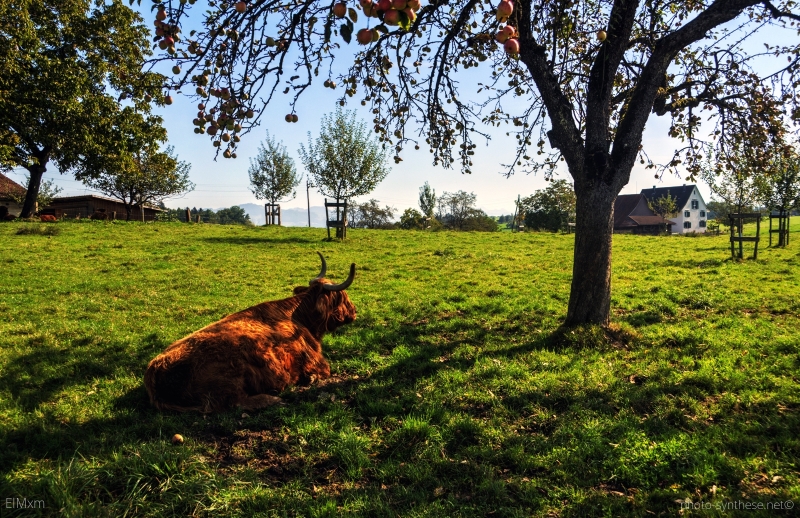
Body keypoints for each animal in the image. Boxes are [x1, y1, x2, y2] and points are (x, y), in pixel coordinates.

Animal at [144, 253, 356, 413]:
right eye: (342, 296)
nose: (354, 311)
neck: (299, 317)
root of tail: (155, 368)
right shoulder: (317, 361)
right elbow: (323, 371)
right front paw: (309, 378)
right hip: (231, 380)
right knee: (234, 402)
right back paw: (273, 399)